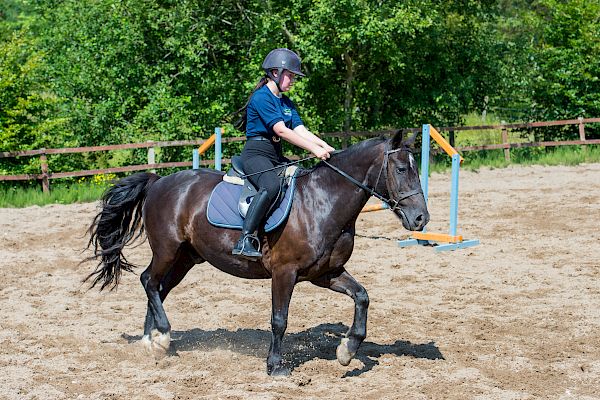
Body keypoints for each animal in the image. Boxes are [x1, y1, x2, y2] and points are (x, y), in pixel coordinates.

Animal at [86, 130, 428, 376]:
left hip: (186, 258)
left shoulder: (325, 273)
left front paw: (347, 350)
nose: (421, 219)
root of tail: (158, 181)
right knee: (148, 281)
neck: (323, 201)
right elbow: (279, 320)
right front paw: (275, 366)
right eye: (401, 169)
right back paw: (162, 336)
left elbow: (362, 296)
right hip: (167, 250)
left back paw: (152, 342)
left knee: (158, 287)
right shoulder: (284, 273)